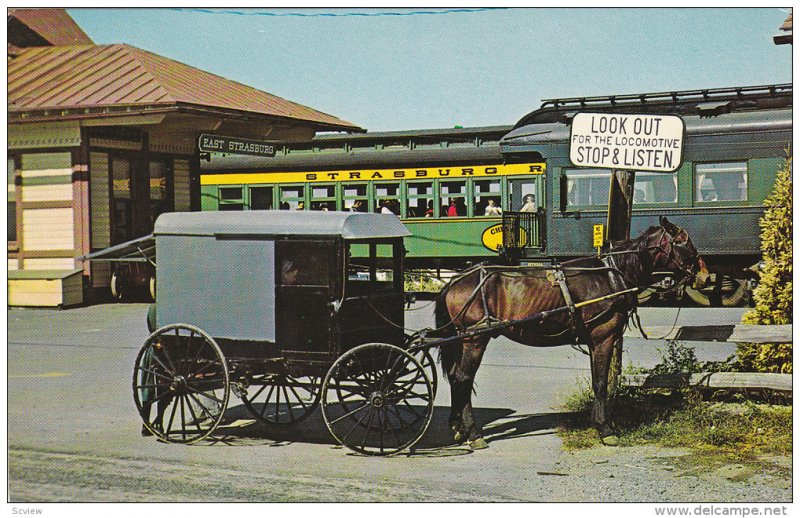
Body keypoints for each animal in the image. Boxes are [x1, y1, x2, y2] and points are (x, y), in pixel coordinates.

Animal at [434, 217, 708, 448]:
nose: (704, 275)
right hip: (475, 339)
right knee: (463, 379)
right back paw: (474, 434)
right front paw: (605, 429)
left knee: (456, 378)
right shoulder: (602, 337)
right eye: (685, 243)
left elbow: (598, 380)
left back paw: (458, 428)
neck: (610, 275)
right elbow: (600, 382)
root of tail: (455, 281)